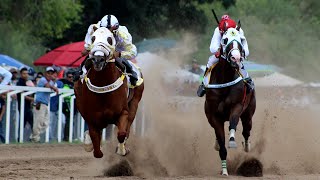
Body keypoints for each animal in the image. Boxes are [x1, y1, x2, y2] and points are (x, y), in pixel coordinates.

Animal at [74, 27, 144, 158]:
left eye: (110, 39)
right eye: (93, 38)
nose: (98, 59)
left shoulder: (123, 112)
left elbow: (121, 134)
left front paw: (122, 150)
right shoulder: (92, 117)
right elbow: (97, 150)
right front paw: (89, 143)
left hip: (135, 102)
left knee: (127, 128)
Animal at [204, 24, 256, 175]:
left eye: (240, 40)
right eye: (225, 40)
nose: (236, 58)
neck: (225, 78)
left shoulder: (237, 106)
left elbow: (233, 123)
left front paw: (232, 140)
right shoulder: (214, 116)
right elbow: (221, 142)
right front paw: (224, 171)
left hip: (248, 114)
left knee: (246, 131)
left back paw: (247, 146)